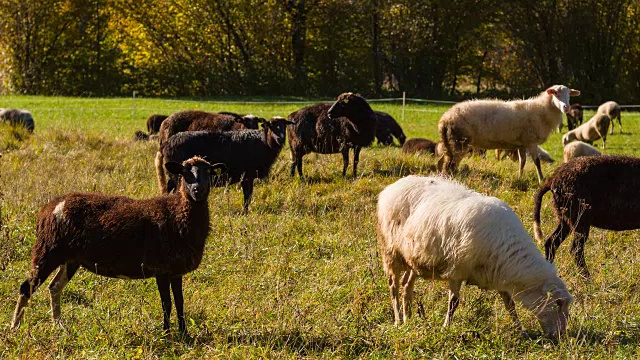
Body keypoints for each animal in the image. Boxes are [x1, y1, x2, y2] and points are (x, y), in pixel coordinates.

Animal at [9, 156, 225, 336]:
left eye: (208, 172)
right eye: (185, 172)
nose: (198, 190)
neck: (178, 214)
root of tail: (48, 208)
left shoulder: (175, 270)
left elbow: (180, 303)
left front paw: (184, 334)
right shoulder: (161, 269)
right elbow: (167, 303)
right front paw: (166, 334)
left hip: (70, 258)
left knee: (54, 287)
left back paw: (58, 325)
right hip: (48, 249)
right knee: (26, 287)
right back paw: (15, 326)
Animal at [378, 176, 572, 338]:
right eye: (558, 303)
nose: (561, 336)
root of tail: (393, 186)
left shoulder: (498, 275)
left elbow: (510, 306)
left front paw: (521, 331)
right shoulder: (457, 270)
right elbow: (454, 303)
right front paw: (446, 328)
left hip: (413, 258)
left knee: (406, 285)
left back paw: (409, 318)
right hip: (391, 252)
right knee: (394, 286)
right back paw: (398, 320)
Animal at [440, 85, 580, 183]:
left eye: (569, 94)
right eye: (556, 93)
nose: (566, 107)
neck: (542, 109)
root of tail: (445, 118)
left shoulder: (522, 143)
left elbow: (522, 161)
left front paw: (520, 176)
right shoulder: (531, 142)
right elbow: (537, 162)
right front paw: (541, 180)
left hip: (450, 143)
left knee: (445, 162)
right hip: (459, 142)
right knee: (451, 165)